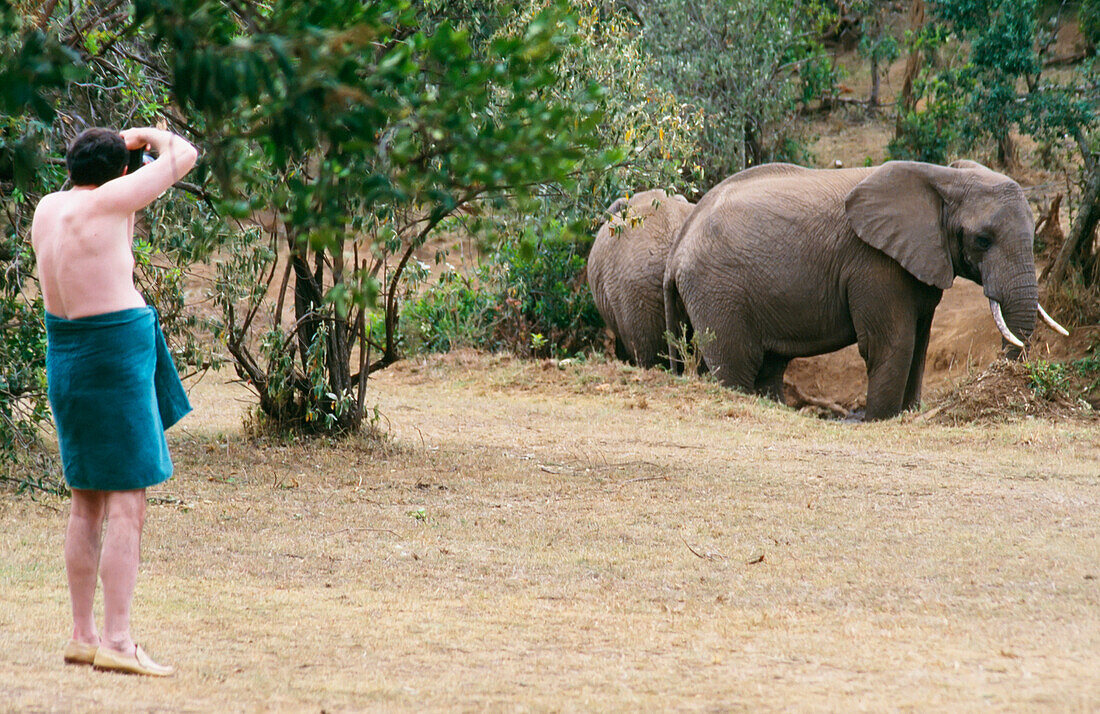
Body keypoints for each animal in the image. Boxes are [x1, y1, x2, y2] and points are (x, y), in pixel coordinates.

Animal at [660, 158, 1064, 420]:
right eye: (982, 240)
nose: (1002, 376)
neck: (943, 175)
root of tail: (678, 247)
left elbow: (919, 345)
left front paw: (907, 414)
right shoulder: (874, 263)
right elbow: (892, 344)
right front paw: (881, 420)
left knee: (768, 367)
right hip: (718, 290)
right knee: (737, 364)